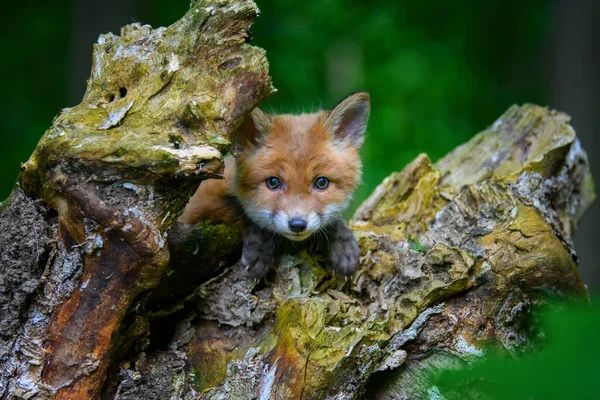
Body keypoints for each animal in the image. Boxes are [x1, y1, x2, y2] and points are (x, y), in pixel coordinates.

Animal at [178, 92, 368, 276]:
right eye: (273, 182)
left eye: (321, 183)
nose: (297, 224)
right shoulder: (200, 203)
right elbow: (240, 211)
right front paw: (260, 247)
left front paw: (343, 243)